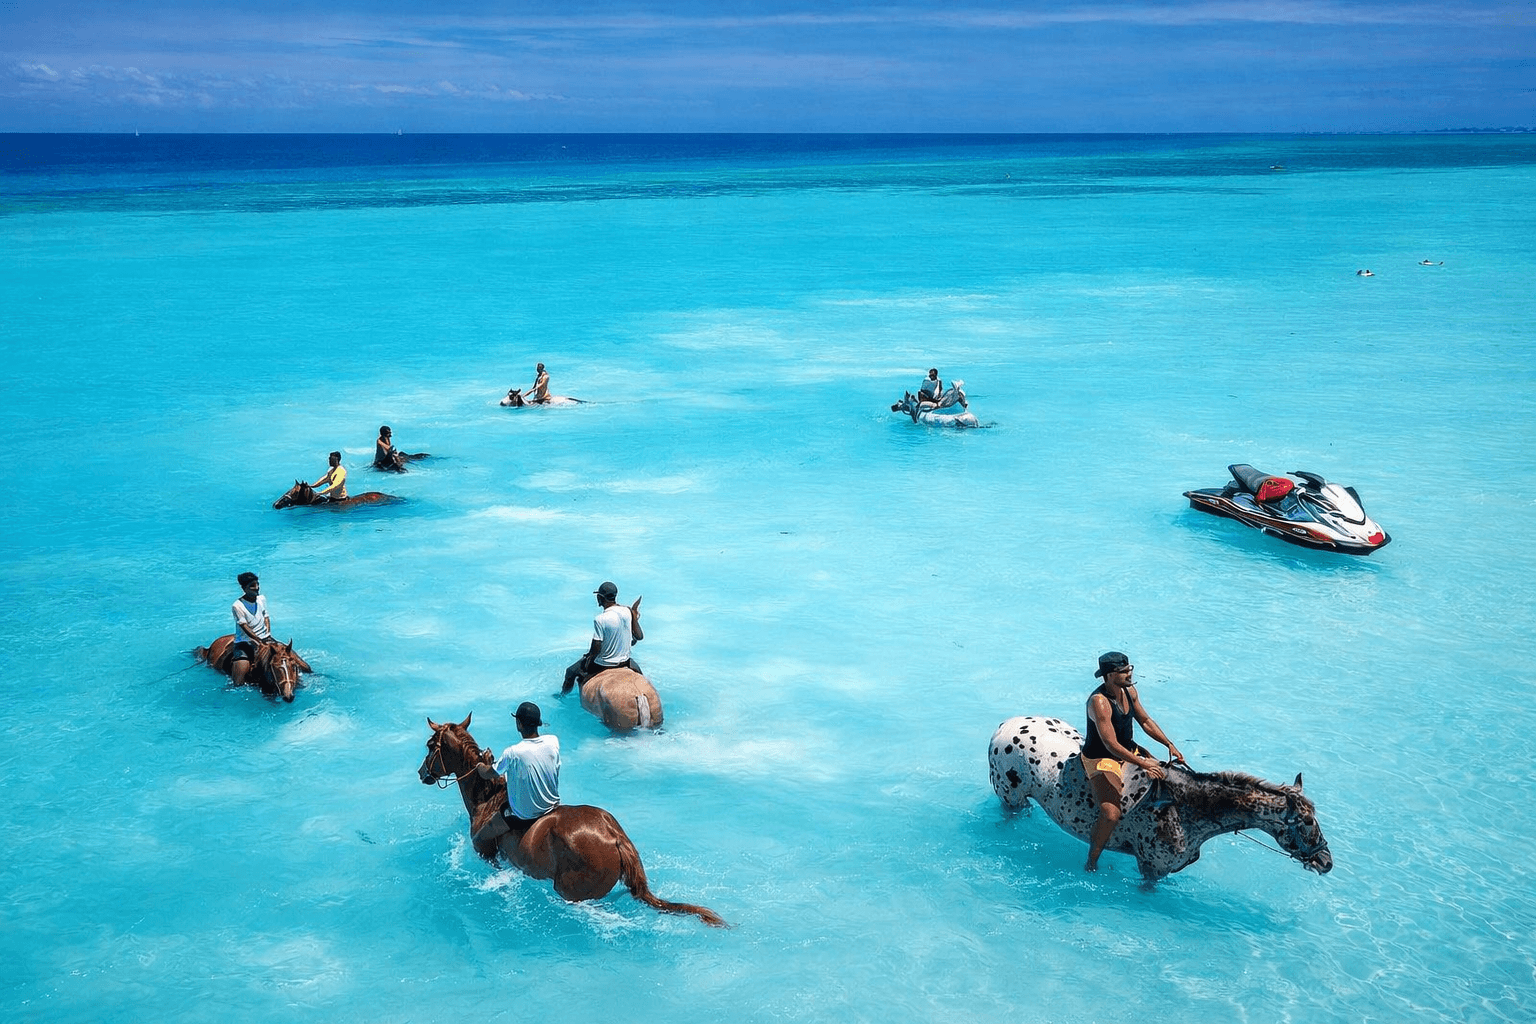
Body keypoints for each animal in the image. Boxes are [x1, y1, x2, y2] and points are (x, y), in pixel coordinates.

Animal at [417, 715, 726, 926]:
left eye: (430, 746)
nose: (422, 773)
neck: (487, 798)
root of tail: (615, 838)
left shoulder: (486, 854)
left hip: (572, 889)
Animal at [987, 716, 1332, 881]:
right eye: (1305, 822)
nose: (1326, 862)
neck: (1188, 808)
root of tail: (1005, 725)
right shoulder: (1152, 869)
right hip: (1011, 798)